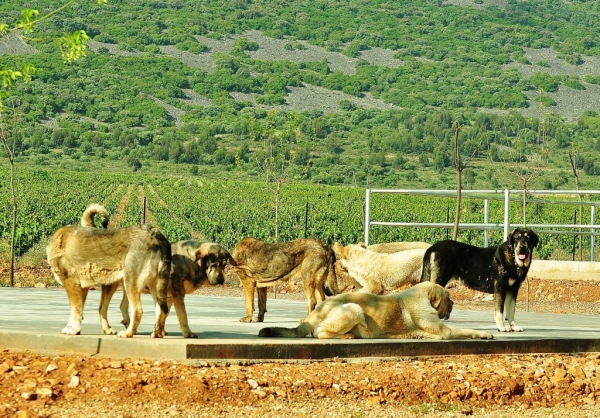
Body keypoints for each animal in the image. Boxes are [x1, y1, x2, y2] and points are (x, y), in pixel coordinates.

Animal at [45, 204, 169, 338]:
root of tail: (155, 235)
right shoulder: (85, 288)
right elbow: (84, 310)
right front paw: (75, 328)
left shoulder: (72, 283)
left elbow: (76, 310)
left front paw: (72, 330)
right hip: (153, 286)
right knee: (162, 309)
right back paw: (157, 333)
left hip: (130, 284)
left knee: (138, 311)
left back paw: (128, 333)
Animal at [260, 280, 494, 340]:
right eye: (448, 298)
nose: (453, 304)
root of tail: (315, 312)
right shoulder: (445, 332)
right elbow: (465, 330)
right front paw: (484, 333)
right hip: (353, 309)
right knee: (319, 333)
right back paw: (348, 336)